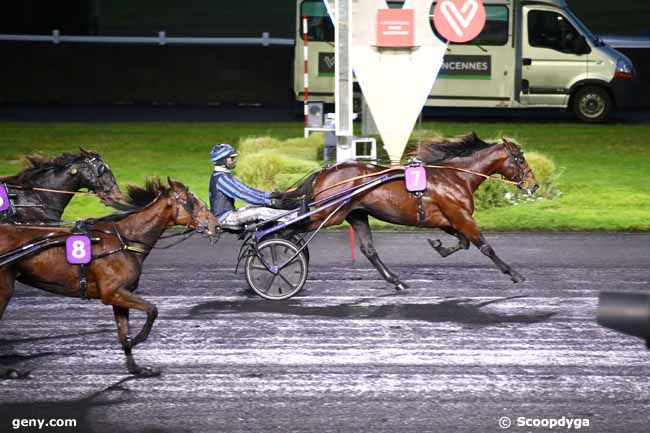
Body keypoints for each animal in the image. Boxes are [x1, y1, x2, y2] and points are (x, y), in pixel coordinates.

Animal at [0, 177, 218, 376]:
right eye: (191, 201)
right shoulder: (112, 293)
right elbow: (152, 310)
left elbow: (124, 331)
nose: (216, 225)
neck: (124, 240)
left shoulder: (121, 295)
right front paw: (136, 340)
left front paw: (136, 367)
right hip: (4, 290)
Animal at [284, 132, 536, 290]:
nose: (534, 185)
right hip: (328, 215)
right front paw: (514, 274)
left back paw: (396, 281)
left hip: (356, 214)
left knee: (369, 250)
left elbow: (463, 242)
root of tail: (325, 172)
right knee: (289, 230)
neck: (457, 176)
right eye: (520, 159)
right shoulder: (460, 216)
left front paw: (438, 246)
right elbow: (485, 246)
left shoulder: (447, 220)